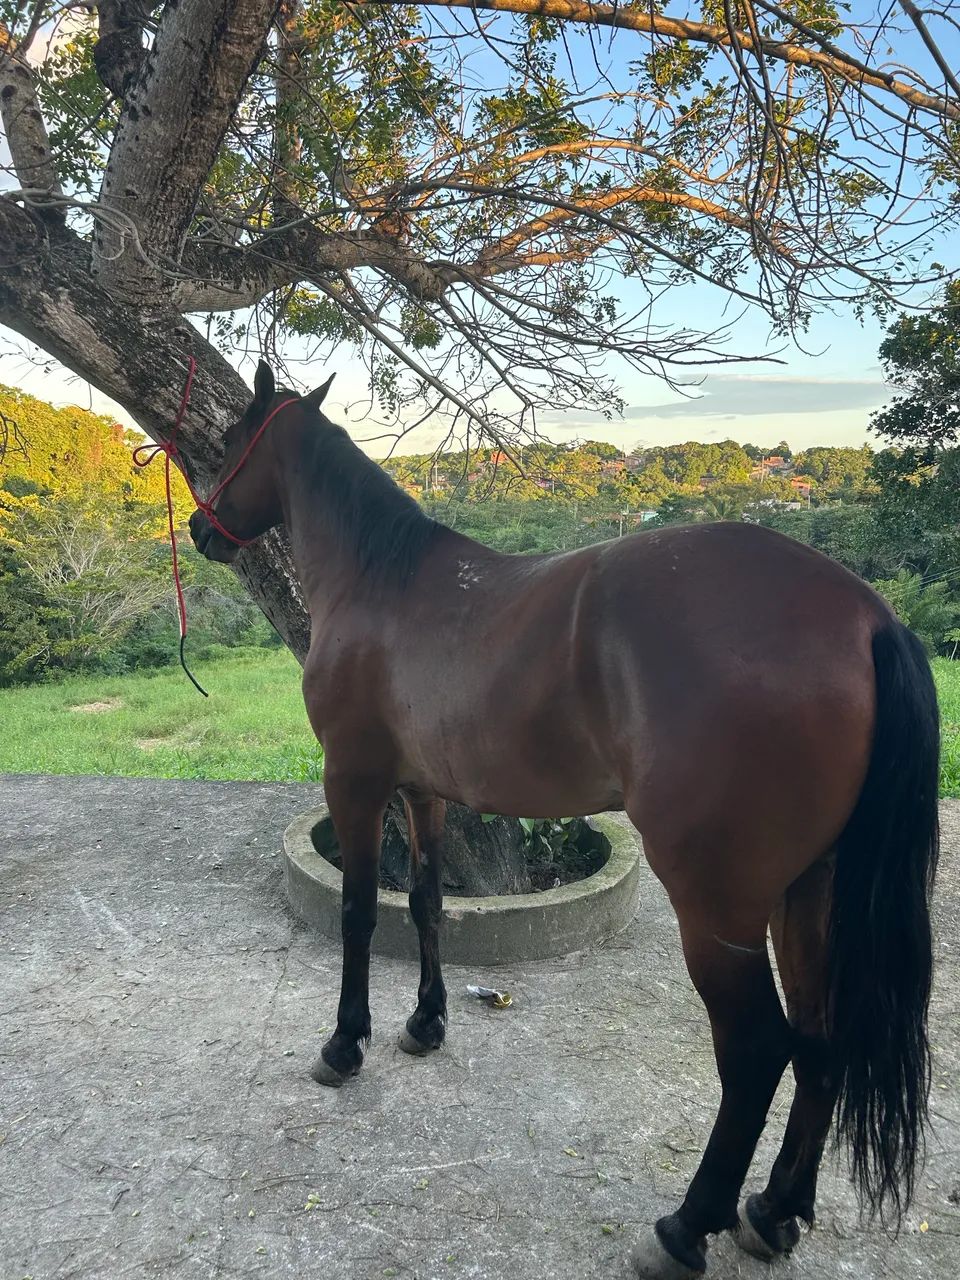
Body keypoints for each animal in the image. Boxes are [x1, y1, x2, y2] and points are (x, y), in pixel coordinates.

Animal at [189, 361, 939, 1279]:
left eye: (231, 441)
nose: (202, 528)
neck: (384, 585)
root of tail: (868, 616)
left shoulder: (354, 783)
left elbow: (361, 915)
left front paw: (344, 1045)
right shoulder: (423, 792)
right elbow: (429, 907)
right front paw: (425, 1023)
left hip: (719, 907)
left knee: (761, 1049)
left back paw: (688, 1226)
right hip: (813, 890)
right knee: (823, 1039)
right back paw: (774, 1210)